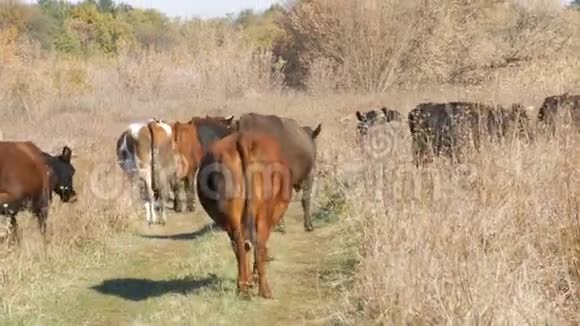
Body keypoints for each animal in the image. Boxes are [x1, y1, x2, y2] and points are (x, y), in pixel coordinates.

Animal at [197, 131, 292, 300]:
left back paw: (243, 287)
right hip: (263, 215)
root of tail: (242, 138)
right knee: (259, 245)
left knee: (240, 245)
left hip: (232, 217)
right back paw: (264, 290)